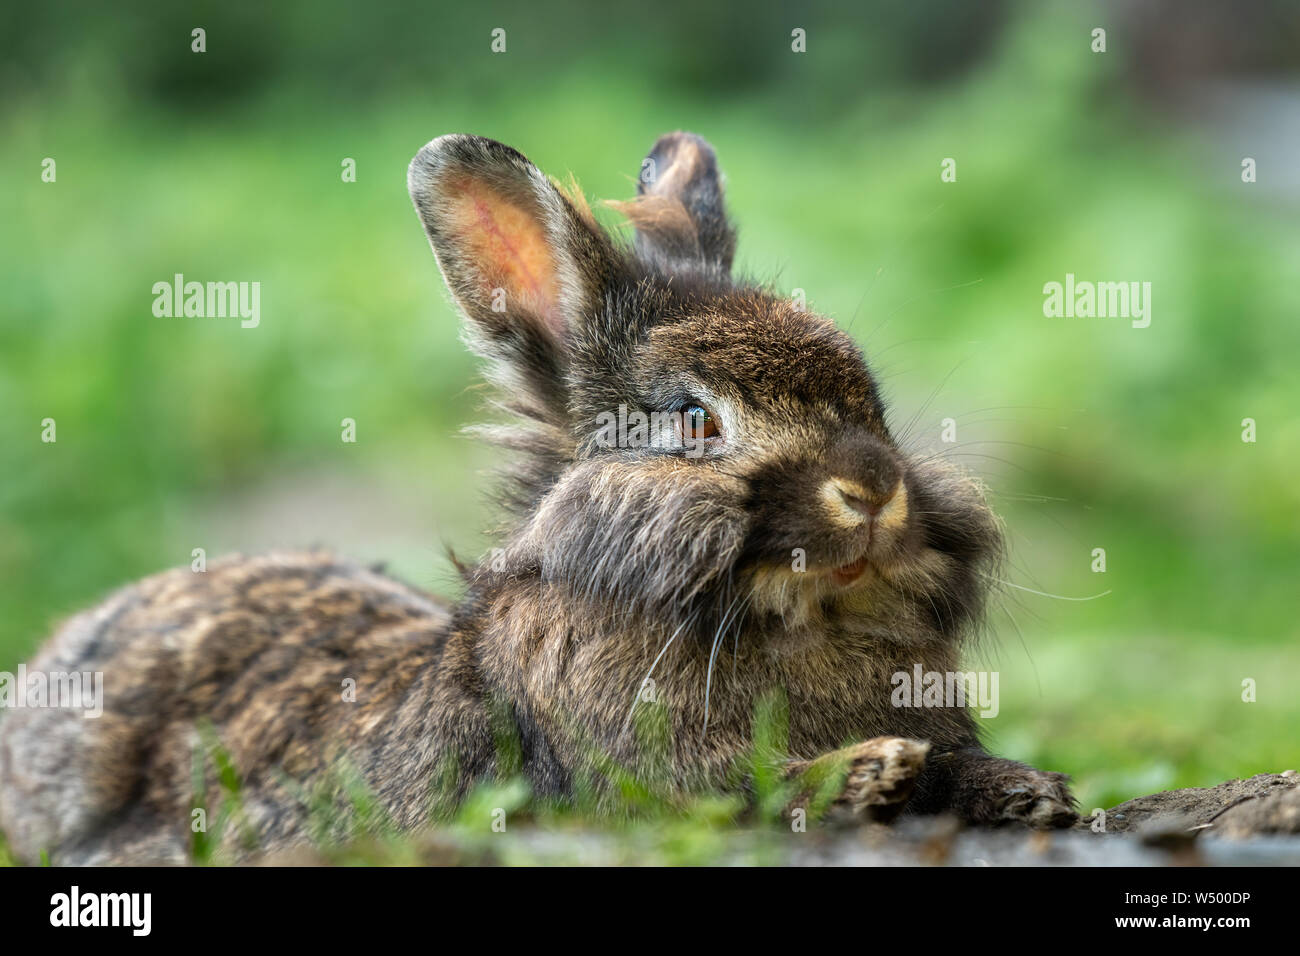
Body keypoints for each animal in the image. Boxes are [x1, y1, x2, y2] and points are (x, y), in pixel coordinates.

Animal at [0, 130, 1076, 863]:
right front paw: (872, 769)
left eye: (871, 399)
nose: (874, 490)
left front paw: (1033, 793)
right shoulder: (640, 787)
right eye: (694, 422)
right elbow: (749, 792)